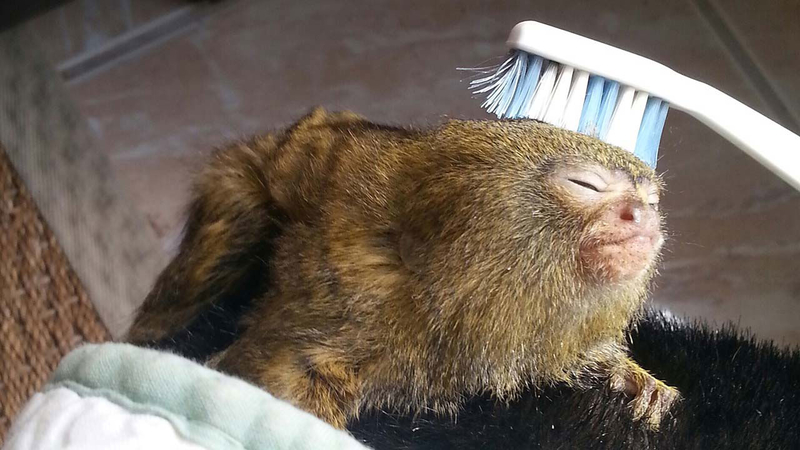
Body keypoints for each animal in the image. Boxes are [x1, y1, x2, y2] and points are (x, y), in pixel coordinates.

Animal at [127, 107, 679, 430]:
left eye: (651, 199)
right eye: (585, 185)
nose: (643, 216)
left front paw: (629, 376)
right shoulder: (349, 300)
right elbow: (274, 380)